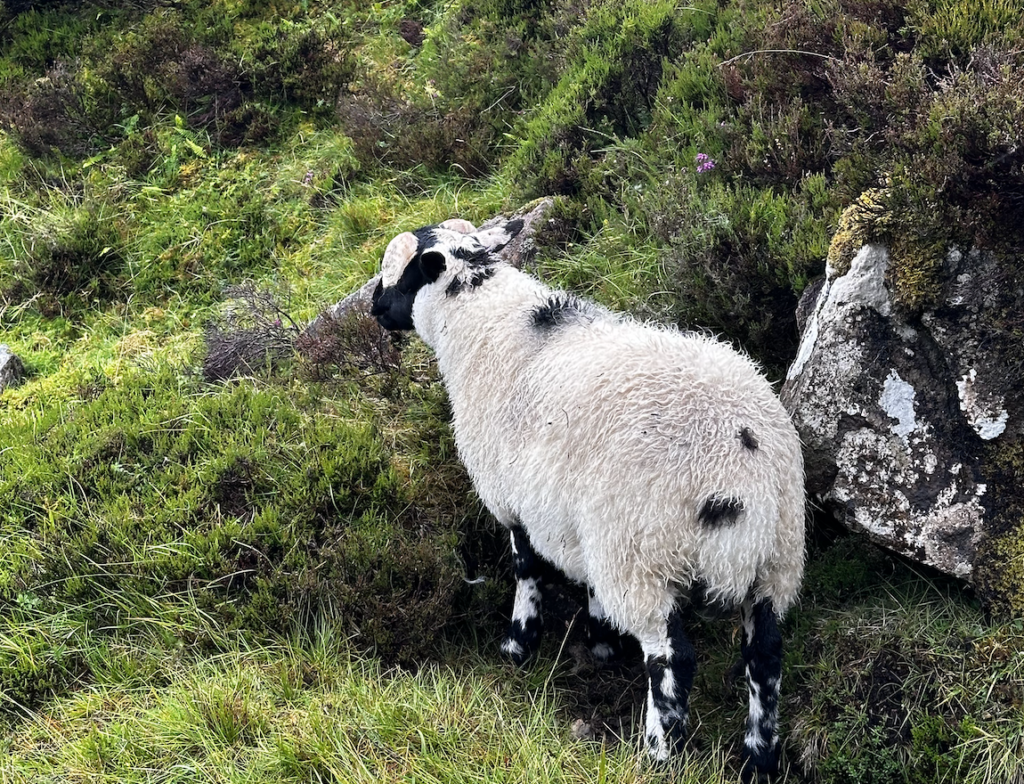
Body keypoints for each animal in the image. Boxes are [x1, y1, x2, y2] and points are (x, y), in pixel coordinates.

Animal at [372, 218, 802, 781]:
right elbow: (589, 588)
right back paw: (759, 757)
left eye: (401, 275)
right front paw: (600, 643)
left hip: (641, 555)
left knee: (672, 658)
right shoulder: (575, 521)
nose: (374, 307)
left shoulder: (514, 502)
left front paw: (519, 644)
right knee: (765, 656)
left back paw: (658, 752)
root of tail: (740, 474)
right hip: (777, 558)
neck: (491, 326)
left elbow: (526, 569)